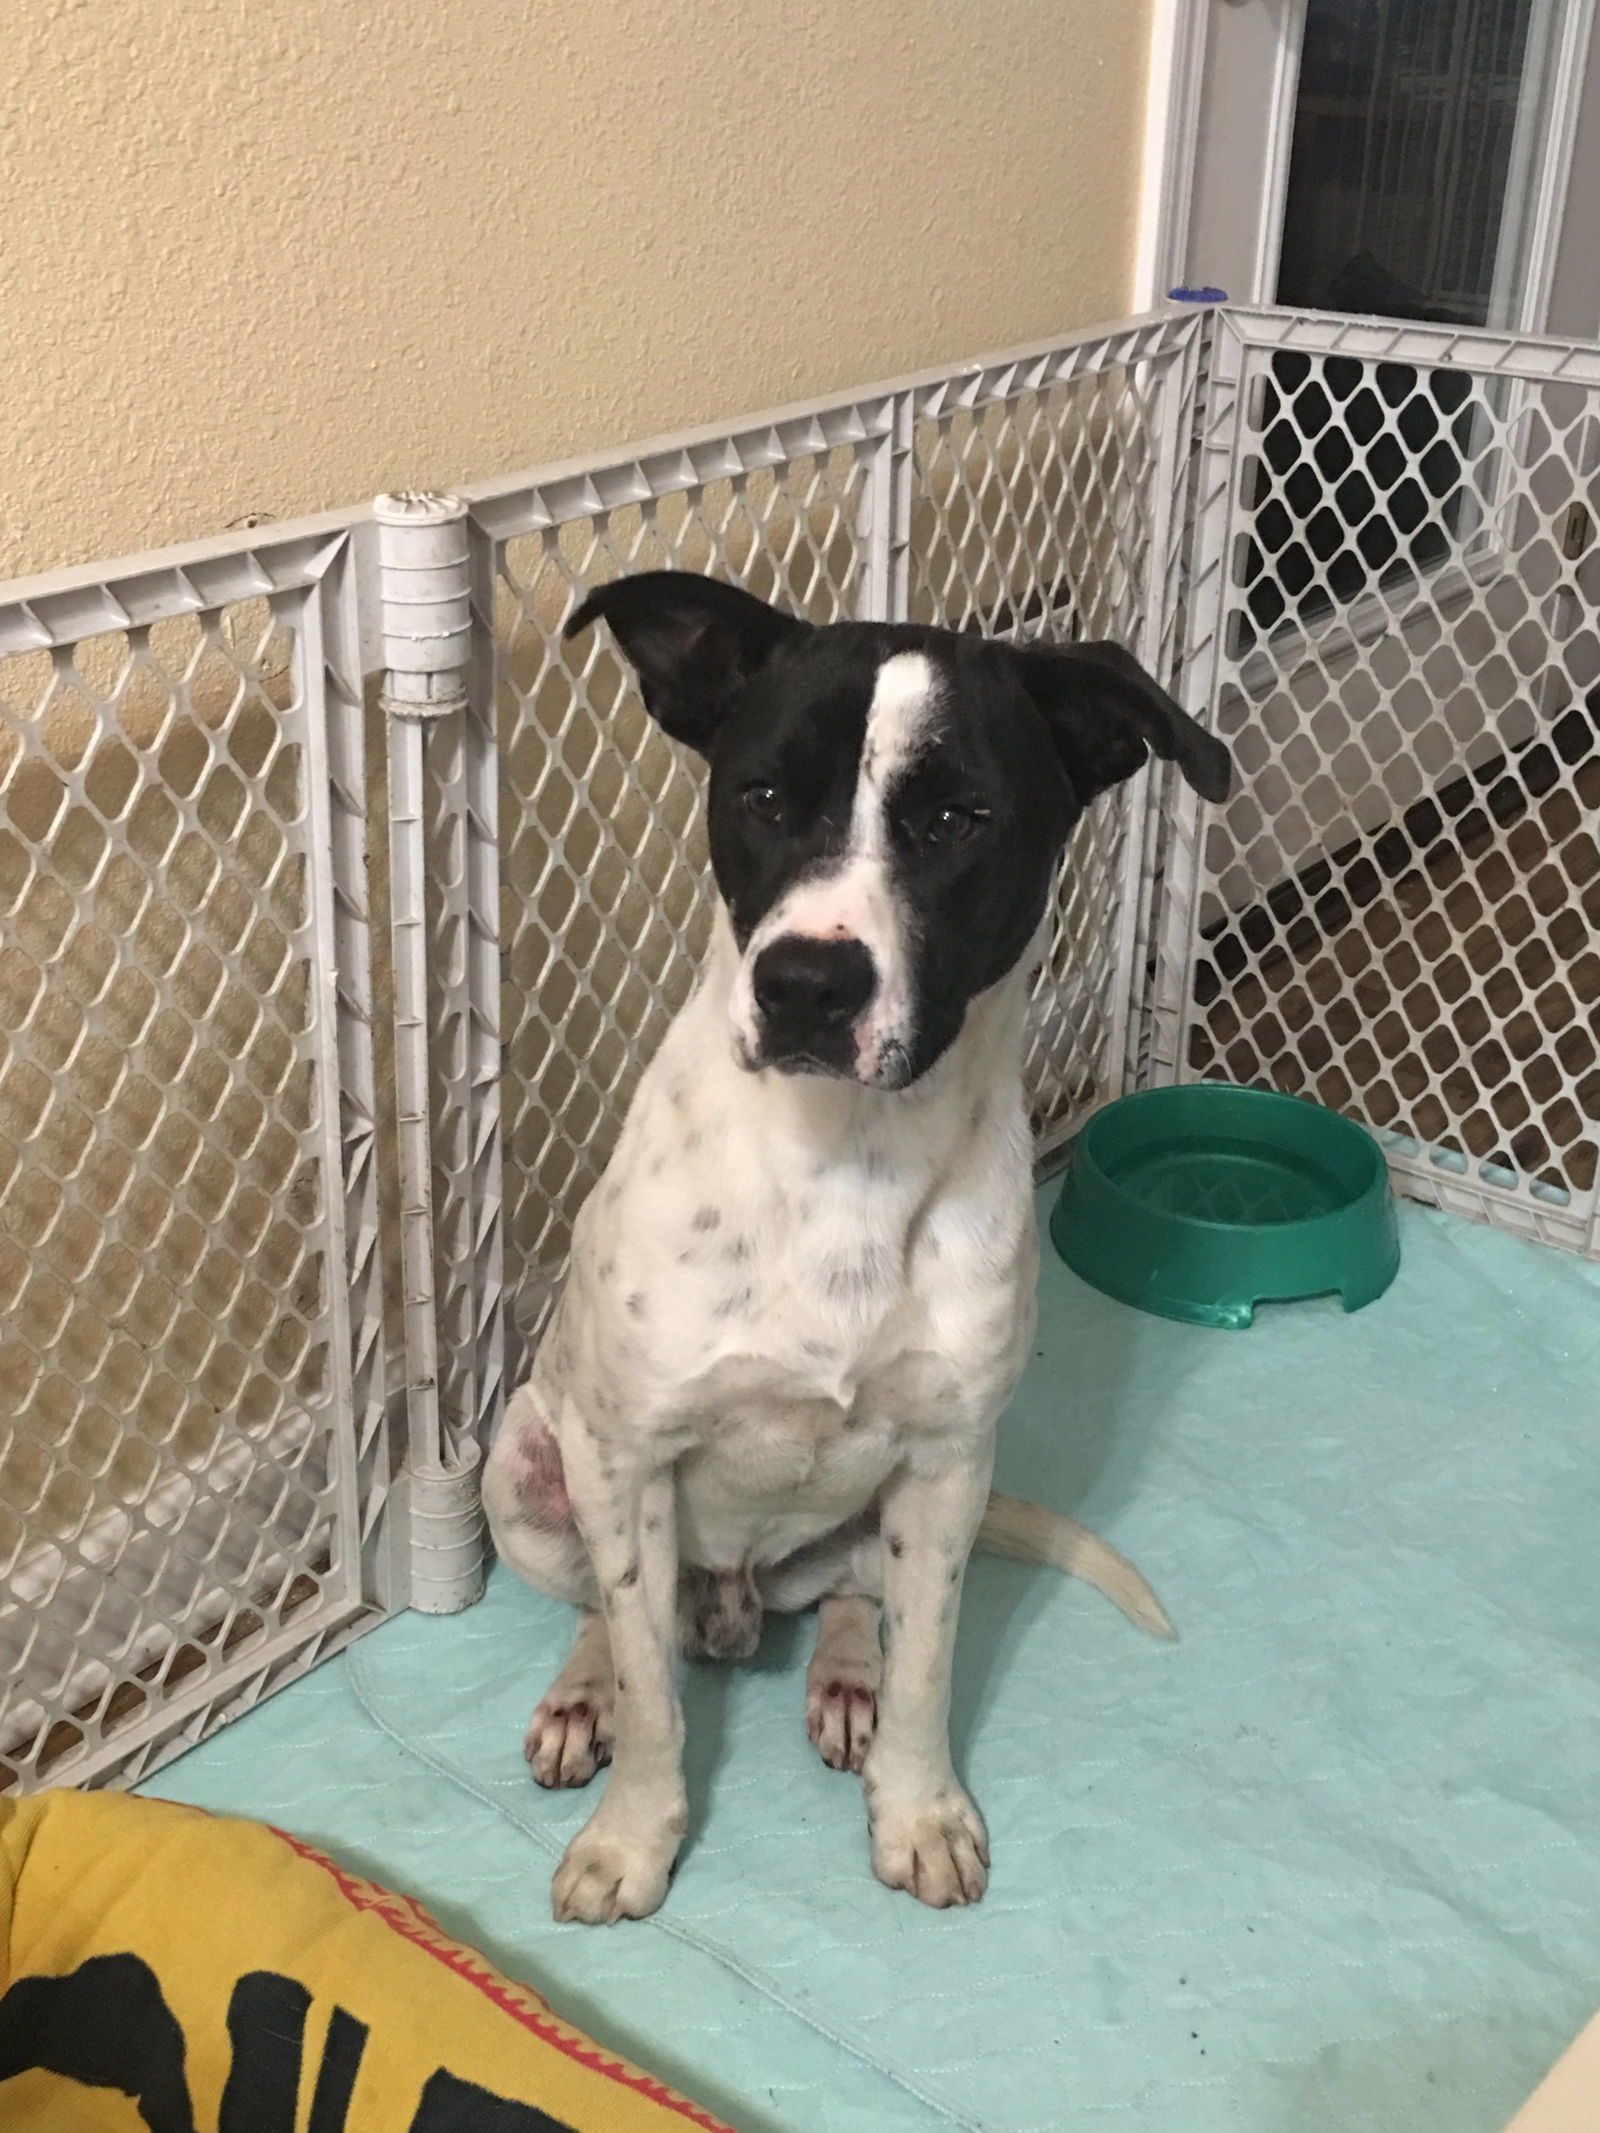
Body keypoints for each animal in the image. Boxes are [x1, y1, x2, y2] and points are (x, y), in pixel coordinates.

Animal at [482, 575, 1237, 1928]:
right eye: (764, 798)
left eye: (956, 818)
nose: (806, 984)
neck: (846, 1156)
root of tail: (736, 1604)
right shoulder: (624, 1458)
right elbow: (656, 1700)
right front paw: (632, 1840)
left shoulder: (944, 1470)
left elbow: (930, 1667)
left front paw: (918, 1811)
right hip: (523, 1473)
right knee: (616, 1620)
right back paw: (585, 1696)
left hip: (906, 1509)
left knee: (845, 1594)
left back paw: (842, 1680)